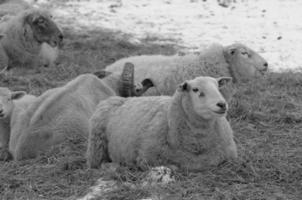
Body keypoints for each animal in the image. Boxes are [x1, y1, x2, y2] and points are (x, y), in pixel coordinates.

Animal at [86, 76, 237, 171]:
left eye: (218, 87)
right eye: (195, 90)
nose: (222, 104)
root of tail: (123, 98)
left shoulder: (229, 157)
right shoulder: (146, 159)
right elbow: (174, 167)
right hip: (97, 145)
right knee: (97, 164)